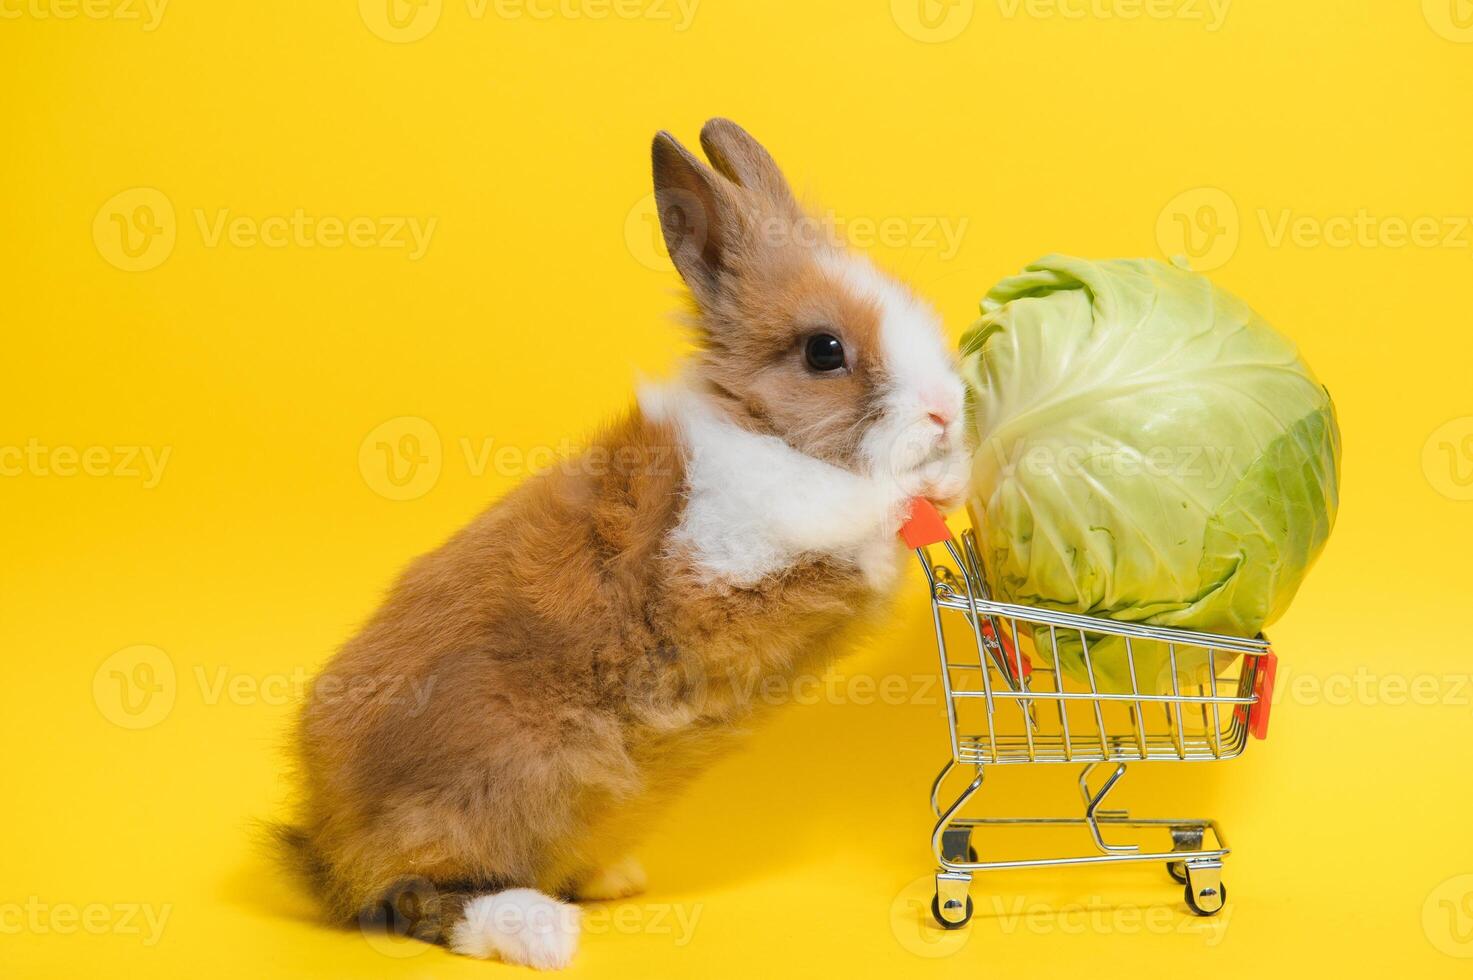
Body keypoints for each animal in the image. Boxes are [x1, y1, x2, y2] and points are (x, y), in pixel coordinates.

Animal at [279, 118, 972, 966]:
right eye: (823, 351)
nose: (945, 410)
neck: (761, 432)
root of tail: (324, 837)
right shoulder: (709, 575)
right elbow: (856, 512)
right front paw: (927, 489)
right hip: (492, 787)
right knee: (408, 898)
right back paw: (540, 930)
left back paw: (609, 879)